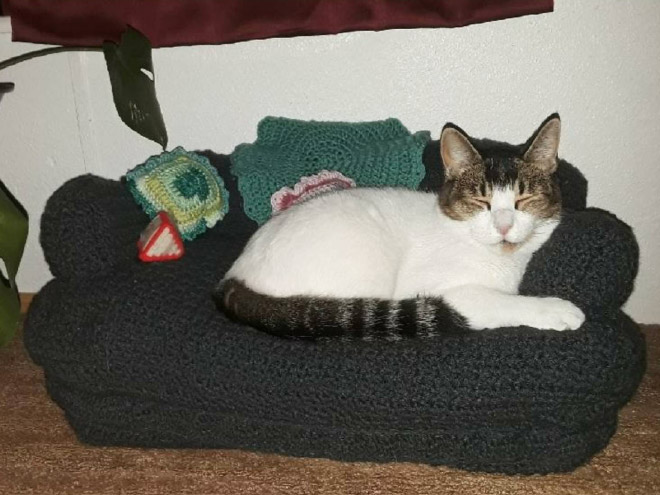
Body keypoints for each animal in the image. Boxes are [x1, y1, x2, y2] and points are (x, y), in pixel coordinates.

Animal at [215, 116, 584, 340]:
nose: (504, 226)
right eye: (481, 201)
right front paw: (556, 309)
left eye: (524, 199)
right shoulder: (444, 291)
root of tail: (232, 277)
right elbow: (503, 304)